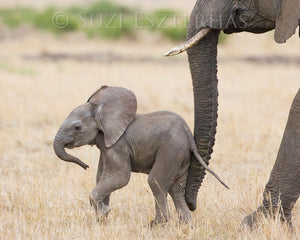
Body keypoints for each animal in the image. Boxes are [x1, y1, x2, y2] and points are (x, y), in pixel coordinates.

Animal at [53, 86, 227, 225]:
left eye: (77, 127)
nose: (85, 166)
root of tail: (190, 137)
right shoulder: (107, 145)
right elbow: (101, 177)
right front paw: (101, 221)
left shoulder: (118, 145)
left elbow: (120, 177)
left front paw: (104, 213)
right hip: (180, 156)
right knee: (176, 189)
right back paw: (185, 226)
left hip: (171, 151)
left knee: (155, 181)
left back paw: (156, 225)